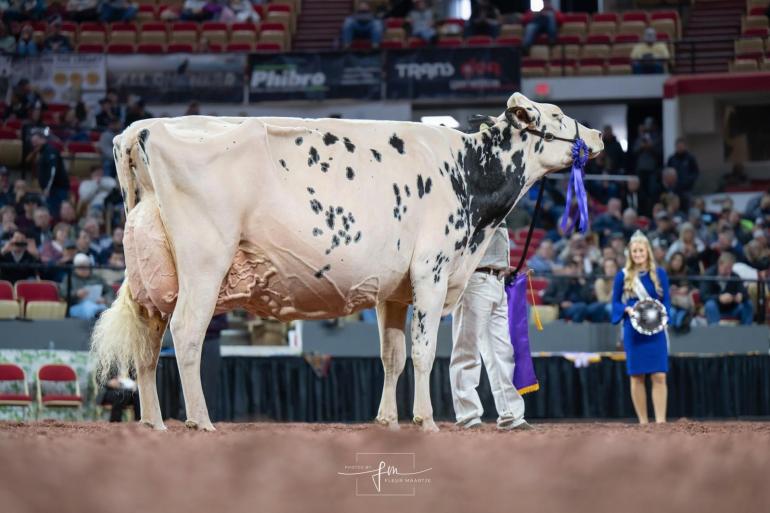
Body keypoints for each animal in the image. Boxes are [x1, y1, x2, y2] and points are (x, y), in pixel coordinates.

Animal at [91, 93, 600, 432]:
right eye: (557, 115)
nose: (596, 135)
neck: (467, 172)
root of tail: (141, 129)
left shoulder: (394, 289)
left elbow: (392, 356)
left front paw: (388, 420)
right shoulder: (432, 271)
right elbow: (423, 352)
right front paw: (426, 420)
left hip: (155, 276)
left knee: (148, 344)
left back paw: (154, 424)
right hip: (204, 262)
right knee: (188, 334)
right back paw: (200, 421)